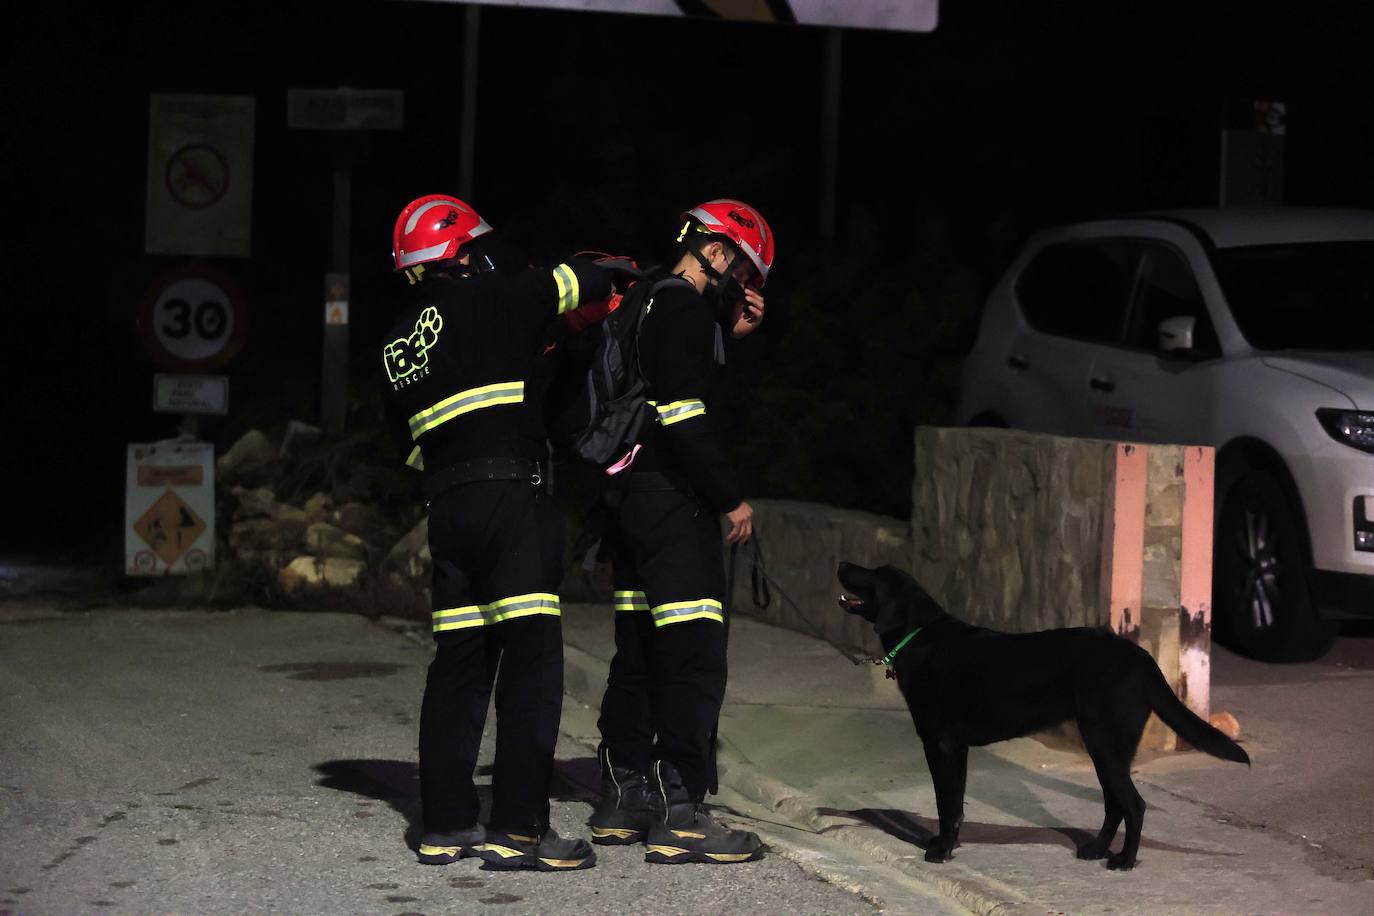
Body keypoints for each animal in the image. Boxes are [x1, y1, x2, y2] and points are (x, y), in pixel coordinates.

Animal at [829, 563, 1253, 873]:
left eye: (872, 573)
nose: (842, 563)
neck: (919, 635)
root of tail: (1141, 657)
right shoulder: (957, 748)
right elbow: (955, 804)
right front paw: (947, 845)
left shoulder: (941, 744)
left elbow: (945, 804)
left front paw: (939, 851)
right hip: (1105, 748)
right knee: (1115, 804)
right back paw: (1096, 849)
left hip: (1105, 743)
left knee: (1133, 805)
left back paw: (1124, 861)